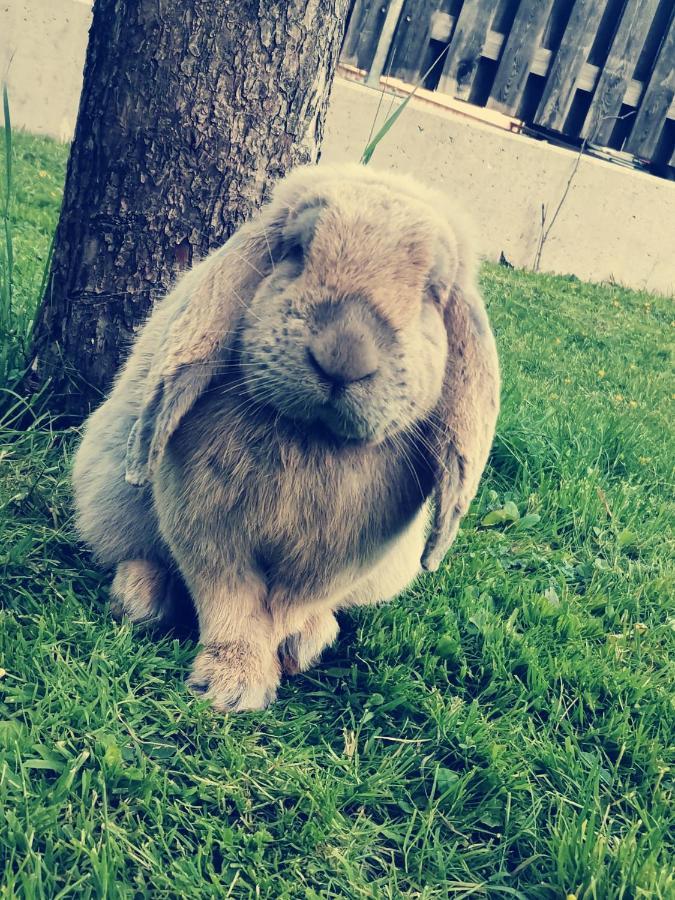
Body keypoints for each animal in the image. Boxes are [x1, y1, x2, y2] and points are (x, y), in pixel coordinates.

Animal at [72, 162, 502, 712]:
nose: (344, 355)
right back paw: (140, 596)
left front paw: (274, 659)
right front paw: (230, 686)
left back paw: (310, 638)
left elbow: (285, 608)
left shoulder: (334, 562)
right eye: (296, 251)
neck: (311, 438)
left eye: (432, 290)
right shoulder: (208, 532)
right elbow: (229, 601)